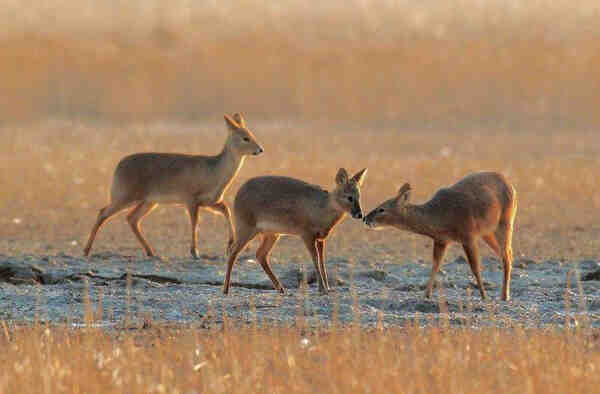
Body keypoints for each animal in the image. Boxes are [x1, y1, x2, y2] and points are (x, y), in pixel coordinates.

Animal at [83, 112, 264, 258]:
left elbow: (226, 209)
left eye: (252, 134)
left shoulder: (210, 201)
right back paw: (86, 250)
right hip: (125, 196)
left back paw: (150, 252)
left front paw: (229, 244)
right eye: (245, 137)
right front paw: (195, 252)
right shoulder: (190, 199)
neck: (214, 170)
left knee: (131, 218)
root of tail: (118, 166)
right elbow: (195, 222)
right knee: (103, 213)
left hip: (148, 201)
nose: (260, 149)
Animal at [224, 168, 368, 294]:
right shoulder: (306, 235)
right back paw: (226, 289)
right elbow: (315, 260)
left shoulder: (321, 238)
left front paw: (328, 288)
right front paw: (322, 289)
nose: (360, 214)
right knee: (233, 252)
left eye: (359, 196)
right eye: (349, 197)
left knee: (260, 254)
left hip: (272, 234)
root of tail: (238, 192)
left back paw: (281, 289)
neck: (322, 209)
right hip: (246, 228)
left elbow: (322, 261)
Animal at [364, 172, 516, 302]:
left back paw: (504, 295)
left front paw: (484, 296)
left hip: (504, 222)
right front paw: (426, 294)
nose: (365, 218)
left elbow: (475, 267)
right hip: (488, 233)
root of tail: (511, 185)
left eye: (382, 209)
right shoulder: (441, 240)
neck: (439, 216)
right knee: (506, 254)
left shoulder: (468, 236)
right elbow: (435, 265)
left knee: (506, 255)